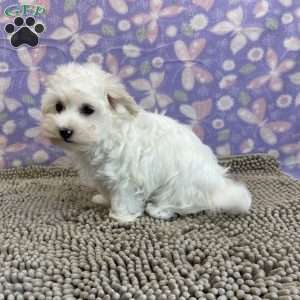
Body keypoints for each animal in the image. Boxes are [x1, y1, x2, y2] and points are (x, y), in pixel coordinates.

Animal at [39, 62, 251, 223]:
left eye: (87, 109)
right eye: (58, 107)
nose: (64, 131)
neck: (106, 133)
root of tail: (217, 188)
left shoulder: (125, 178)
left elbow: (123, 197)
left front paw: (121, 217)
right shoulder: (103, 176)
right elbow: (107, 191)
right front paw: (103, 199)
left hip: (179, 185)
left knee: (187, 205)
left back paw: (159, 210)